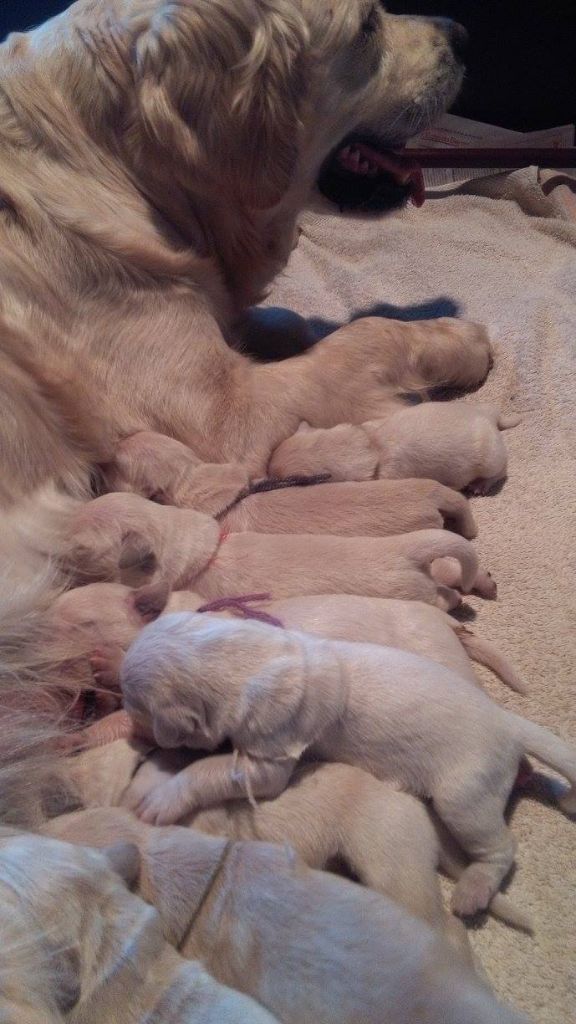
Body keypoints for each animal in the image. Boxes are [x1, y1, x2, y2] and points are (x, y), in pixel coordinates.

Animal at [118, 610, 569, 917]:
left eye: (136, 708)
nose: (130, 730)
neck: (248, 659)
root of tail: (507, 723)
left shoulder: (270, 753)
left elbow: (208, 771)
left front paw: (160, 799)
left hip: (465, 795)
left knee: (501, 848)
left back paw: (471, 892)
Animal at [268, 401, 520, 493]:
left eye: (276, 479)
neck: (369, 446)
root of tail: (490, 416)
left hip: (490, 459)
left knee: (501, 472)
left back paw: (480, 486)